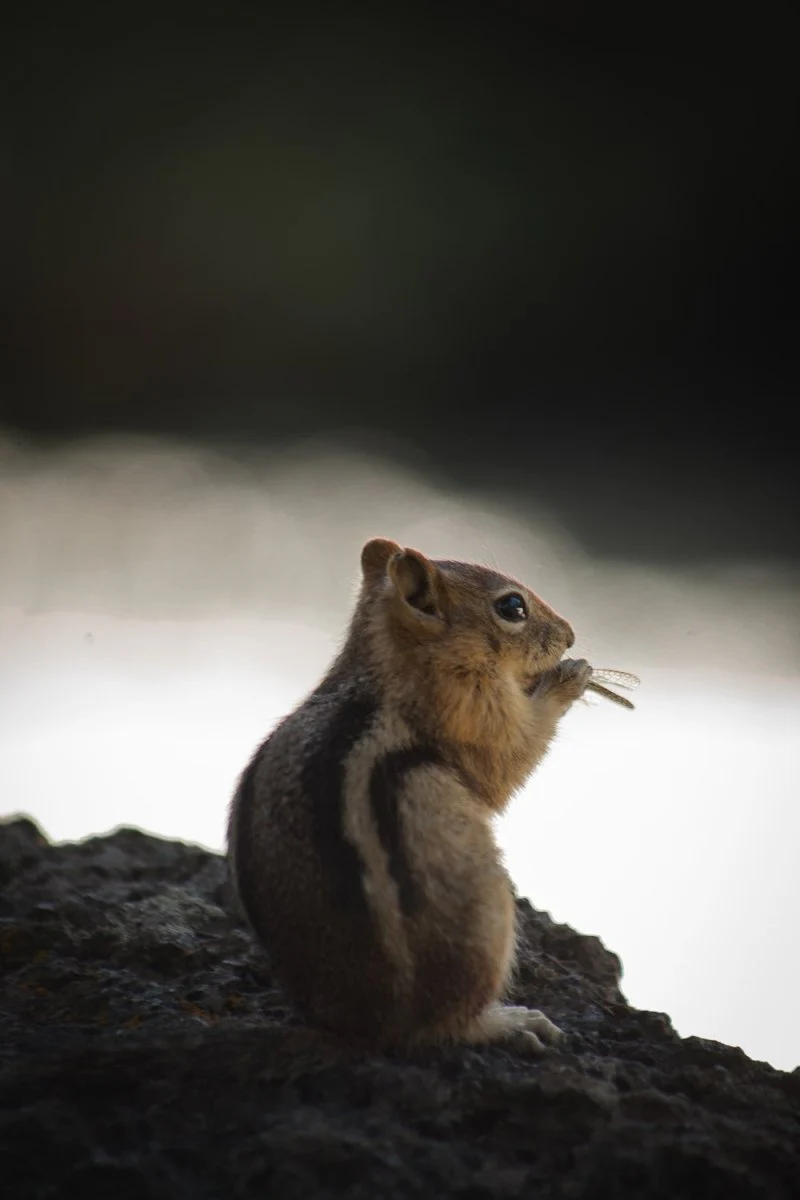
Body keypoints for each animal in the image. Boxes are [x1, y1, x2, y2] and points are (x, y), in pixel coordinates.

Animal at [227, 538, 592, 1055]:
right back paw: (511, 1023)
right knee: (452, 1025)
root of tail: (378, 1025)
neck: (385, 666)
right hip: (489, 920)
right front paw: (569, 679)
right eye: (512, 607)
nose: (571, 636)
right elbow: (509, 760)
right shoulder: (474, 713)